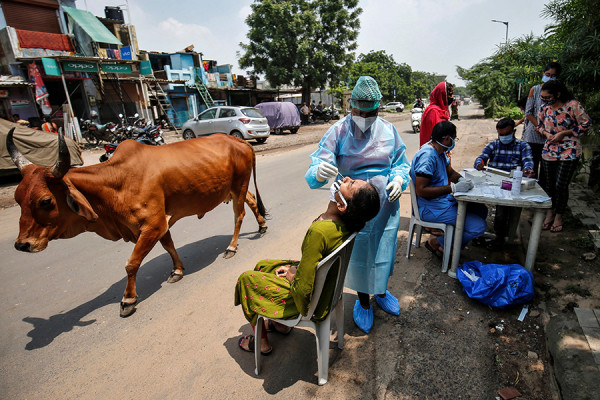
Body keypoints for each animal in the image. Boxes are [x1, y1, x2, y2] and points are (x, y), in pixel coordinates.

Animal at [7, 130, 268, 318]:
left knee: (239, 215)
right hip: (235, 189)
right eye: (18, 198)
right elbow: (169, 246)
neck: (116, 182)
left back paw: (232, 247)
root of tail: (238, 140)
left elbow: (131, 263)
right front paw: (177, 270)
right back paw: (262, 226)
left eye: (46, 200)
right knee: (252, 201)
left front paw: (128, 300)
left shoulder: (152, 225)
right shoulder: (160, 223)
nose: (22, 244)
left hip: (239, 185)